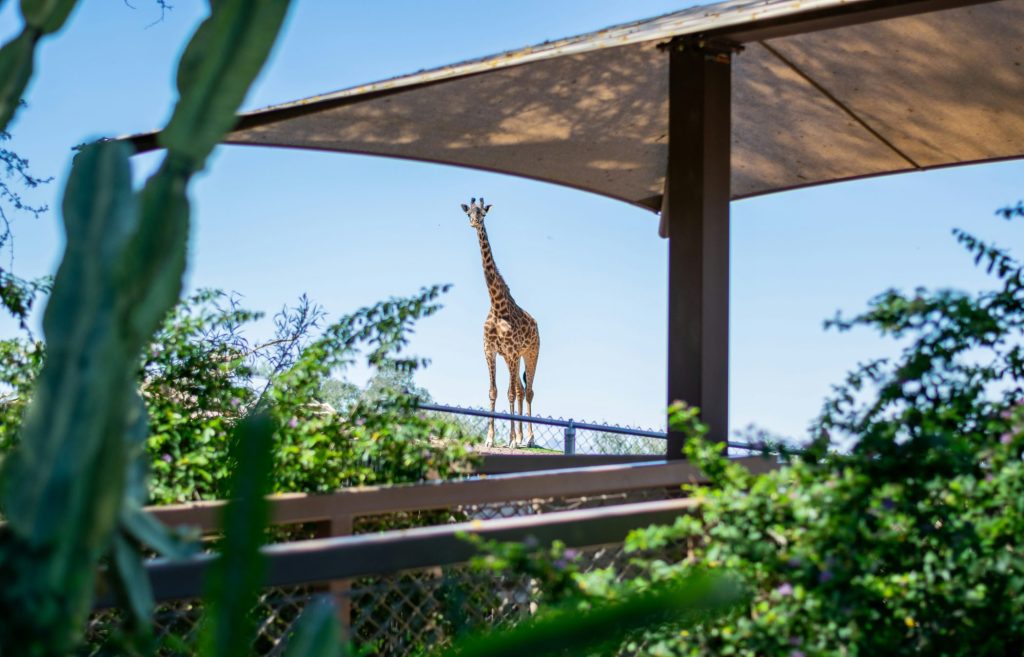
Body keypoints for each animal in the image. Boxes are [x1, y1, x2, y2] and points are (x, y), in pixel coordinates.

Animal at [461, 198, 540, 448]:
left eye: (483, 214)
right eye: (469, 213)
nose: (474, 223)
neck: (497, 306)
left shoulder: (513, 351)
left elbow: (510, 394)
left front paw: (512, 440)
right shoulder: (490, 350)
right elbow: (494, 392)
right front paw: (491, 439)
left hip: (531, 352)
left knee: (528, 390)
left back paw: (529, 439)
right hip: (510, 358)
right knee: (521, 389)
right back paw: (522, 437)